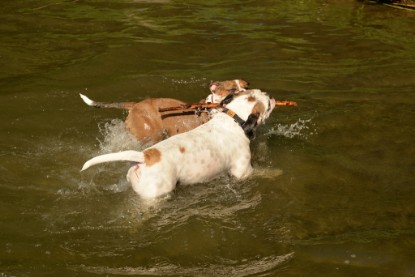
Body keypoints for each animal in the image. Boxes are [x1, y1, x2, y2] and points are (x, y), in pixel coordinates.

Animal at [81, 89, 276, 199]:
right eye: (267, 104)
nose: (270, 95)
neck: (232, 119)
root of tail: (145, 156)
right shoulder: (242, 171)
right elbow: (262, 172)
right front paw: (274, 173)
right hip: (155, 194)